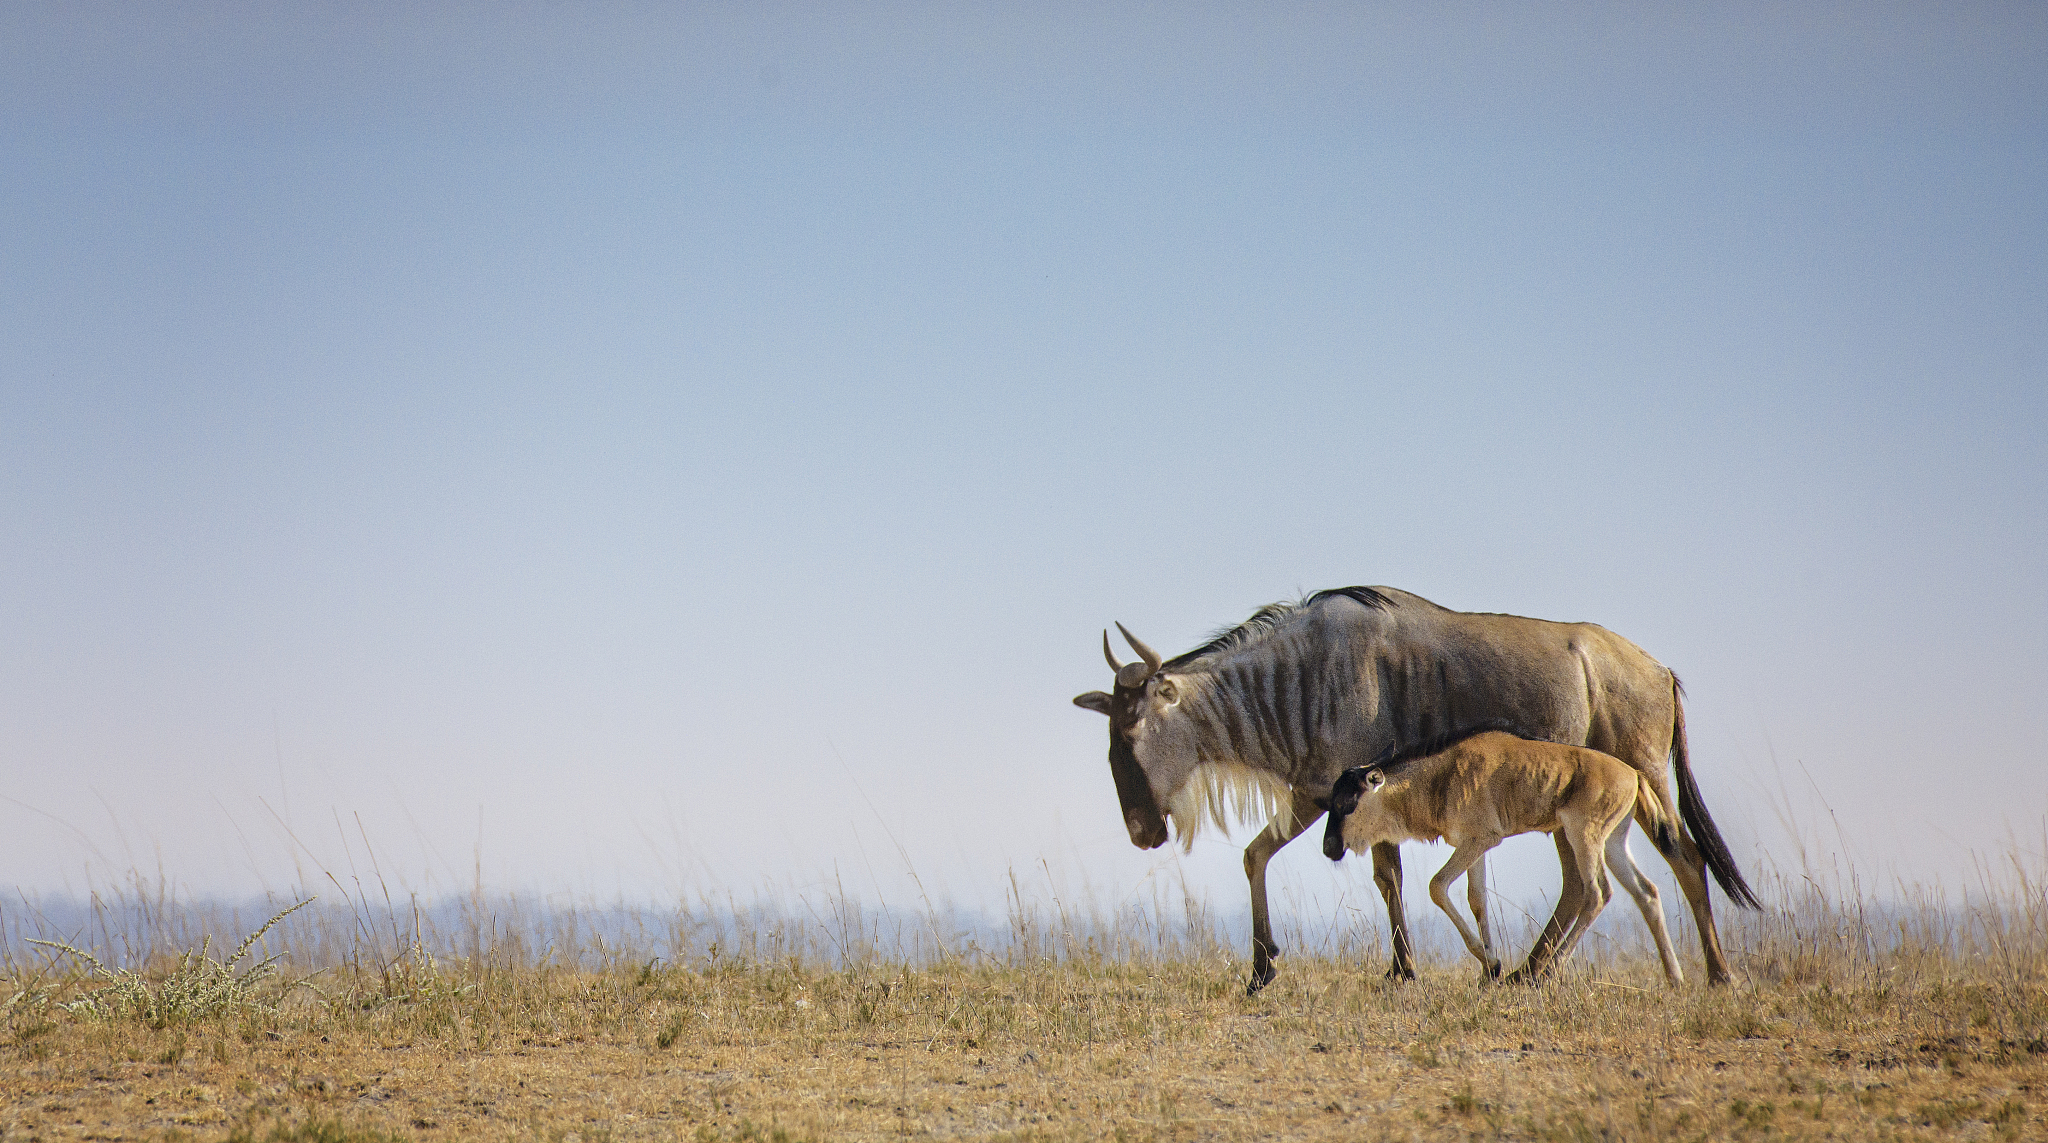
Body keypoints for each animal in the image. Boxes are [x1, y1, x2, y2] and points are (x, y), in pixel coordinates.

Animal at [1323, 725, 1685, 983]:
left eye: (1344, 802)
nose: (1329, 847)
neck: (1441, 776)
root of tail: (1634, 774)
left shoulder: (1482, 839)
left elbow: (1437, 886)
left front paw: (1492, 963)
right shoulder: (1474, 844)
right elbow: (1477, 898)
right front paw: (1490, 970)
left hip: (1583, 835)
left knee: (1596, 893)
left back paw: (1549, 971)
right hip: (1611, 844)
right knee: (1646, 892)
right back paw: (1675, 978)